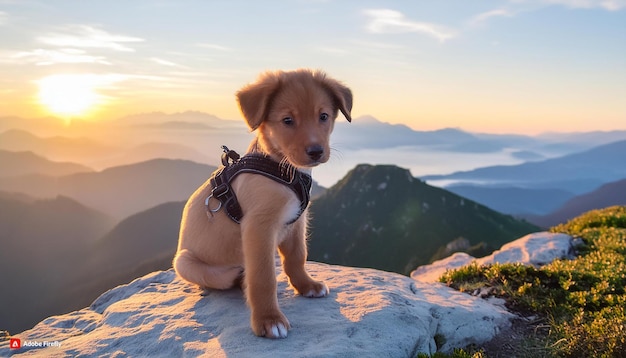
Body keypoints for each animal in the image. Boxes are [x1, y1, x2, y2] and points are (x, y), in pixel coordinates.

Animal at [173, 69, 354, 338]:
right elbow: (263, 277)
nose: (316, 151)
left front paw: (306, 285)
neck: (282, 168)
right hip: (184, 262)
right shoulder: (258, 229)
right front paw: (269, 320)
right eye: (287, 120)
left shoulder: (296, 222)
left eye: (323, 116)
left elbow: (297, 257)